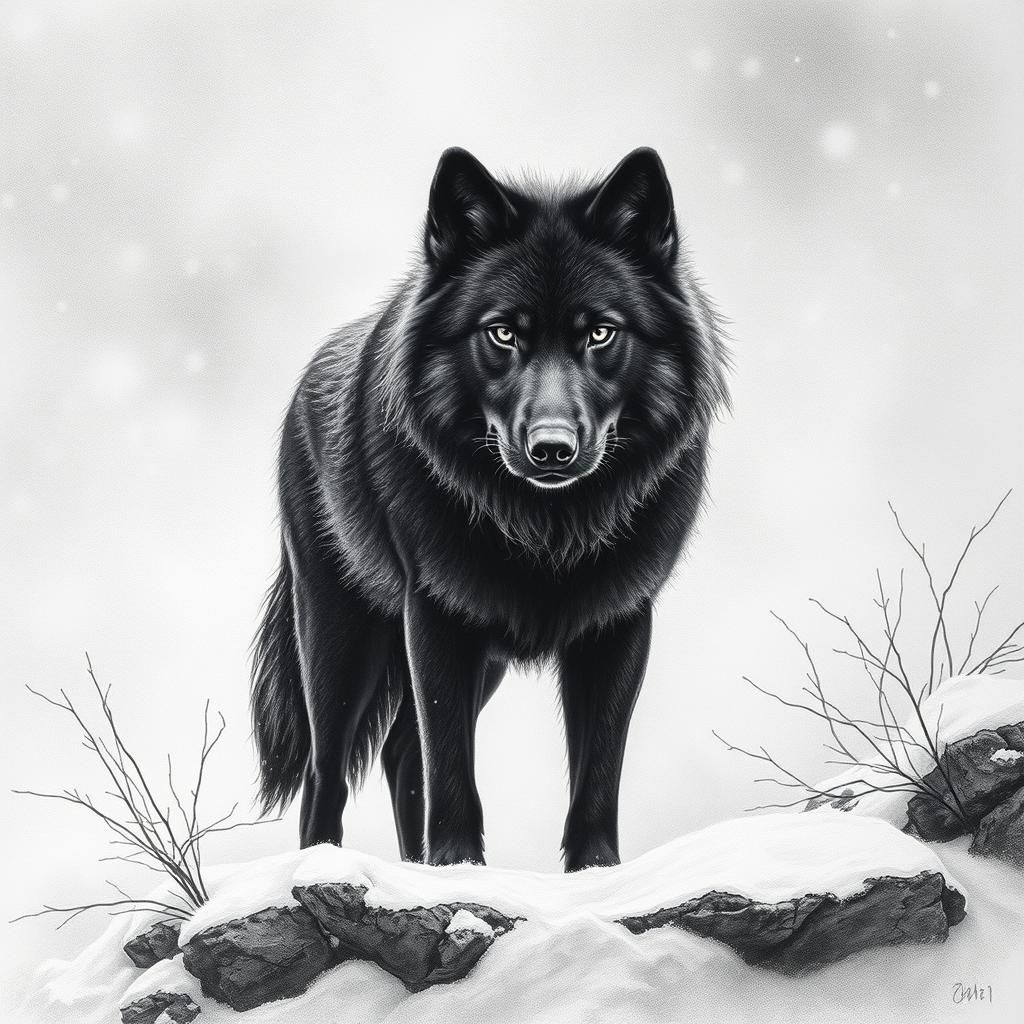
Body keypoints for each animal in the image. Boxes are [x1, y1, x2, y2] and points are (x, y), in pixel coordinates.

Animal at [251, 146, 729, 871]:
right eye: (502, 332)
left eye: (600, 333)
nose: (552, 449)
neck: (549, 530)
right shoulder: (436, 617)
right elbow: (452, 766)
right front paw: (457, 869)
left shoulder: (619, 624)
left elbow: (596, 775)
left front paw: (594, 874)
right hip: (340, 637)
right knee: (326, 773)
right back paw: (324, 866)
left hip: (485, 661)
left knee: (399, 753)